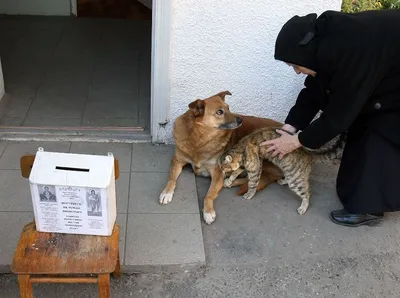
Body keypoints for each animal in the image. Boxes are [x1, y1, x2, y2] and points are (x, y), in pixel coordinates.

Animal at [158, 91, 282, 224]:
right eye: (219, 112)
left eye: (228, 108)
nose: (241, 120)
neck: (200, 139)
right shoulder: (177, 161)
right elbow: (171, 178)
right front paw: (166, 192)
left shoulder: (218, 172)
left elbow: (209, 195)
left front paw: (208, 212)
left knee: (254, 179)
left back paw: (229, 182)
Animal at [217, 125, 346, 214]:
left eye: (222, 167)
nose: (221, 172)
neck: (241, 148)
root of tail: (308, 153)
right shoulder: (243, 165)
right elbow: (235, 172)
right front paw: (229, 180)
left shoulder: (254, 169)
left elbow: (252, 184)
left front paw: (249, 194)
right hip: (290, 173)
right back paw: (283, 181)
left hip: (296, 181)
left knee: (307, 193)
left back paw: (303, 207)